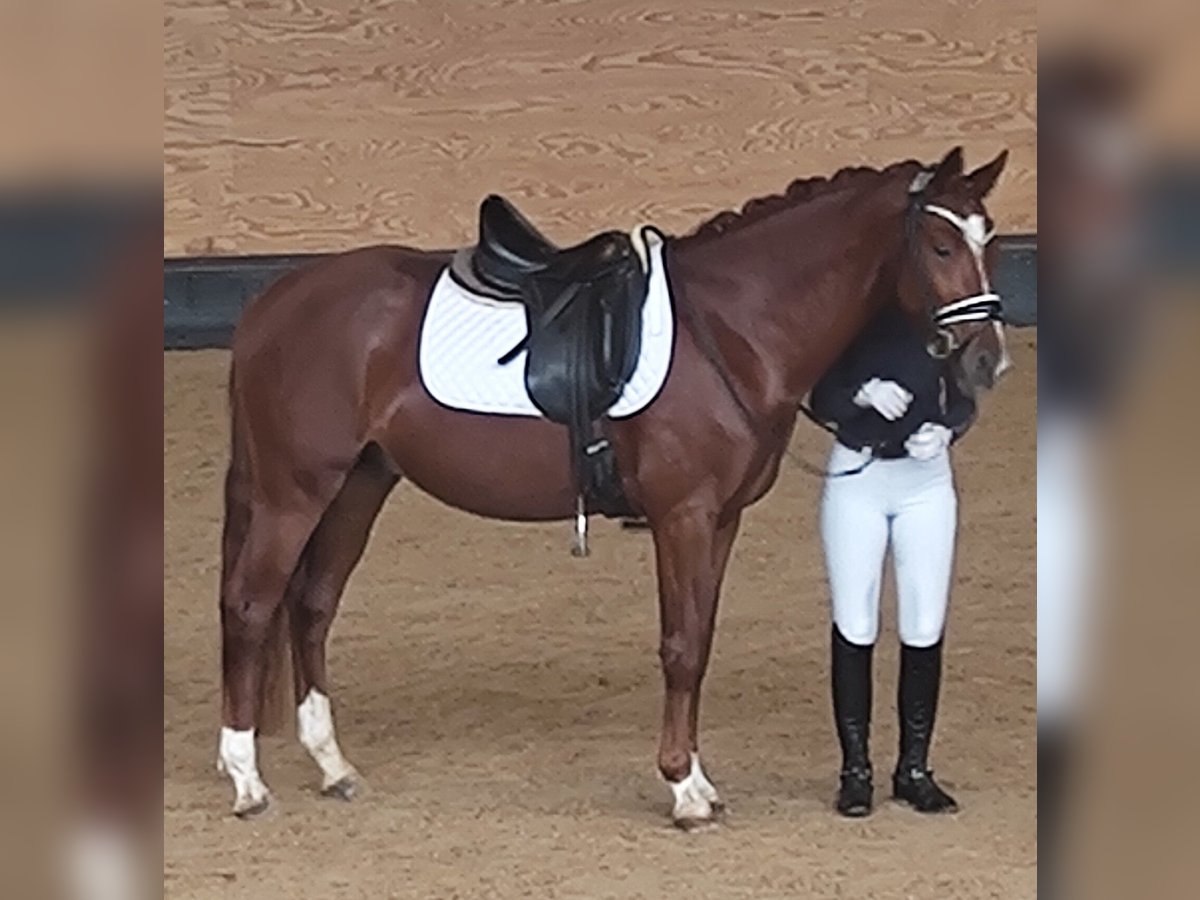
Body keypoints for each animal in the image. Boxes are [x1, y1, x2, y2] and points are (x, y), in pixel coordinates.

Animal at [218, 148, 1012, 830]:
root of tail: (273, 301)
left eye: (990, 240)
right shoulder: (682, 516)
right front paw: (684, 790)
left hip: (359, 484)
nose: (987, 361)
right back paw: (247, 780)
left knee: (312, 606)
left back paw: (332, 767)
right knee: (252, 607)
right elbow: (680, 646)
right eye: (941, 248)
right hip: (295, 492)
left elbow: (701, 639)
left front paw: (699, 780)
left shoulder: (721, 520)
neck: (731, 327)